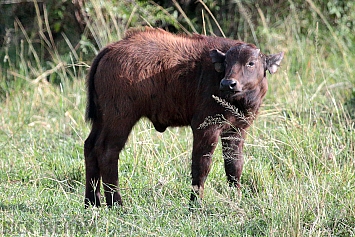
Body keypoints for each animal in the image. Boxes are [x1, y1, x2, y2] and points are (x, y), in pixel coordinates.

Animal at [85, 27, 286, 207]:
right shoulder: (205, 129)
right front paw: (195, 205)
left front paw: (235, 200)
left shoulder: (236, 130)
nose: (228, 83)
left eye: (251, 63)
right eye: (227, 63)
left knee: (90, 147)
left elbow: (234, 166)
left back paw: (92, 202)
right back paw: (117, 204)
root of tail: (110, 49)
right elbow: (201, 166)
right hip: (120, 120)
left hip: (102, 121)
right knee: (107, 152)